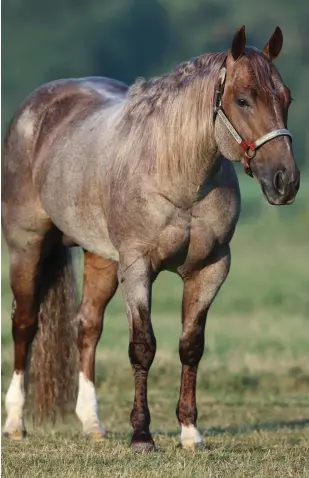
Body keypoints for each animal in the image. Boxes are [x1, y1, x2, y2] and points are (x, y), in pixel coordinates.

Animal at [0, 24, 298, 446]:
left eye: (286, 97)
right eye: (243, 100)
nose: (285, 181)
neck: (177, 171)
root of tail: (37, 108)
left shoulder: (211, 269)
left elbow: (191, 346)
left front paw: (190, 431)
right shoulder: (139, 268)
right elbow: (143, 346)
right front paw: (142, 435)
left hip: (102, 259)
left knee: (87, 326)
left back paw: (92, 423)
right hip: (27, 247)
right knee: (25, 324)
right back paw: (15, 422)